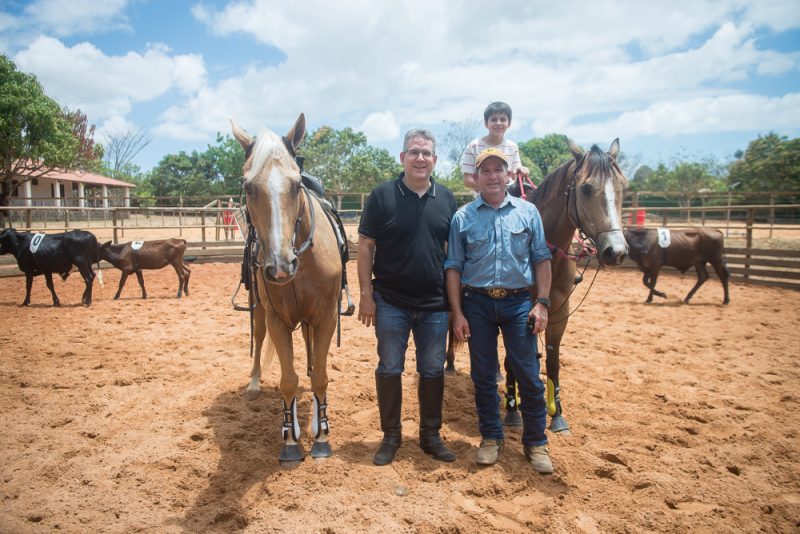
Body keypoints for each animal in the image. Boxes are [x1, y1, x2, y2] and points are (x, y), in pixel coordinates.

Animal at [233, 114, 342, 464]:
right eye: (248, 187)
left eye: (296, 185)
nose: (280, 266)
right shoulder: (277, 320)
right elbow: (288, 381)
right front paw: (290, 441)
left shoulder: (325, 318)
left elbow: (320, 376)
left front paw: (321, 435)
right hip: (258, 310)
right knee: (258, 338)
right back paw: (254, 383)